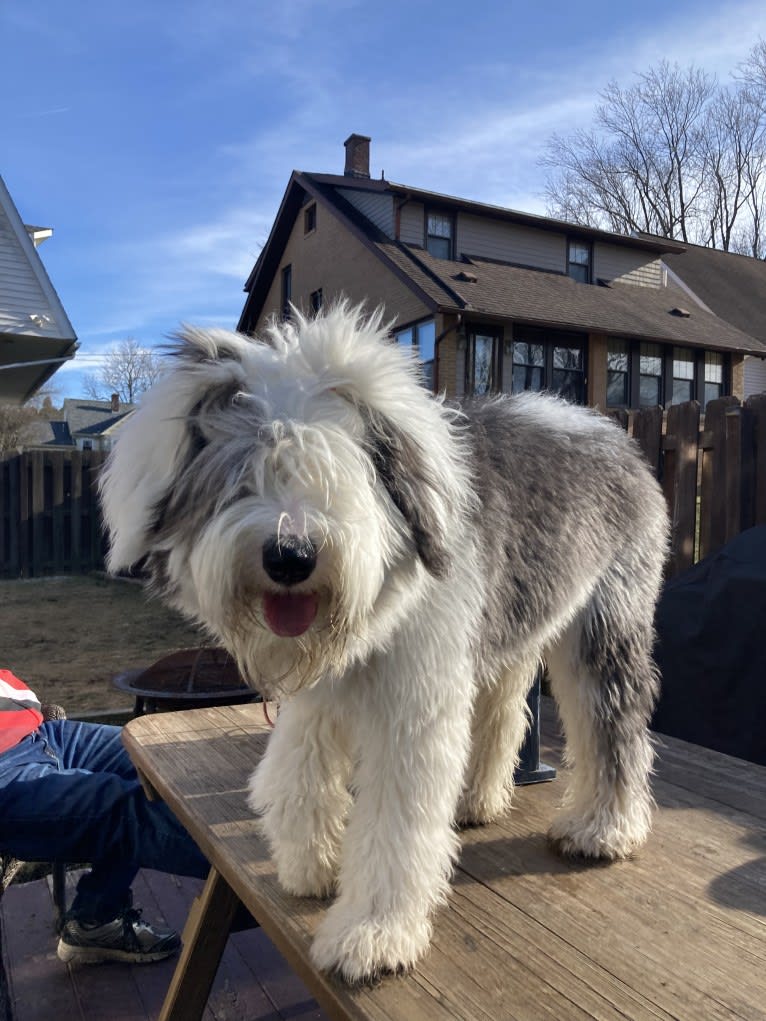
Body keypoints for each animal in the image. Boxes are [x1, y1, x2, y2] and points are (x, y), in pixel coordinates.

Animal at [99, 302, 669, 980]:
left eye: (343, 474)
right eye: (243, 474)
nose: (290, 556)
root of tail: (610, 431)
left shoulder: (414, 698)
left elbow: (397, 818)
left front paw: (372, 932)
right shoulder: (322, 690)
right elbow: (297, 766)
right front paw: (310, 862)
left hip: (605, 620)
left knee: (613, 723)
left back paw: (603, 829)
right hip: (510, 623)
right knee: (502, 711)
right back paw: (478, 798)